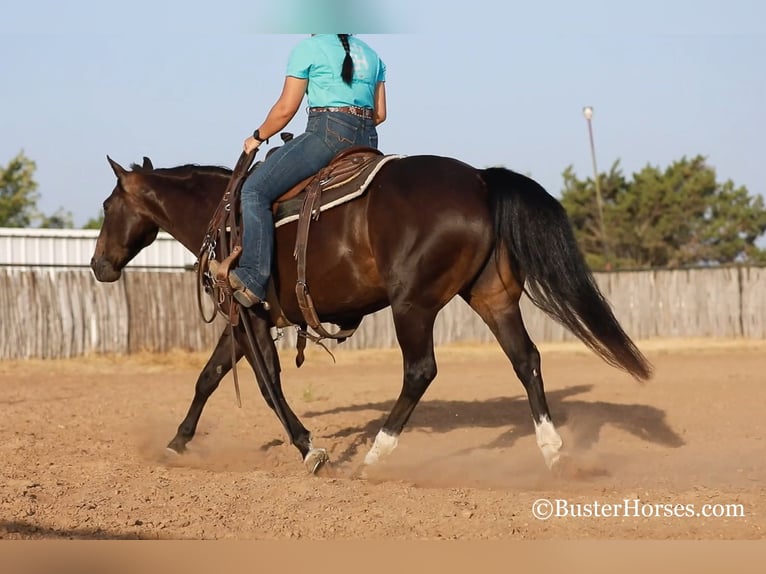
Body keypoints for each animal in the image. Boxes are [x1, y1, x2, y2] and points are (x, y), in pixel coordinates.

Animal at [91, 152, 656, 472]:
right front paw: (175, 444)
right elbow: (208, 378)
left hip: (413, 305)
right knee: (527, 361)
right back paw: (554, 451)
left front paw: (309, 448)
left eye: (106, 206)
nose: (98, 265)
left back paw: (376, 455)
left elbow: (267, 386)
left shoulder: (249, 317)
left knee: (420, 371)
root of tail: (479, 179)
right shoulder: (247, 323)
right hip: (492, 298)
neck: (226, 218)